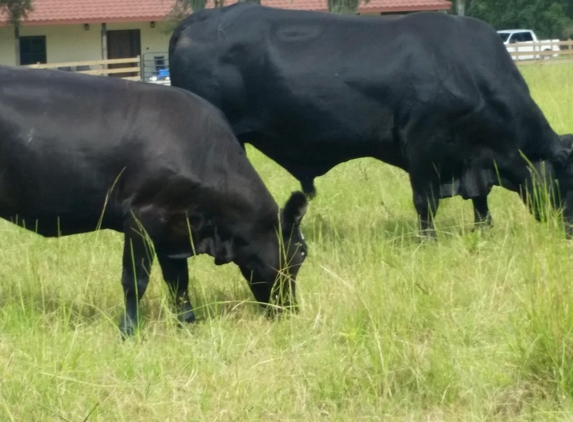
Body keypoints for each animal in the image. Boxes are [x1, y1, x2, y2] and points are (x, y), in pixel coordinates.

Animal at [0, 65, 308, 336]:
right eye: (302, 253)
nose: (292, 311)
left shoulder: (176, 227)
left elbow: (178, 281)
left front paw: (188, 325)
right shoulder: (142, 217)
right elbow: (135, 280)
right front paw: (128, 331)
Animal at [168, 2, 572, 234]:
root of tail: (201, 17)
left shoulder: (472, 155)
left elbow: (480, 200)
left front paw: (483, 229)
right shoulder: (423, 146)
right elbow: (425, 202)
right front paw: (428, 240)